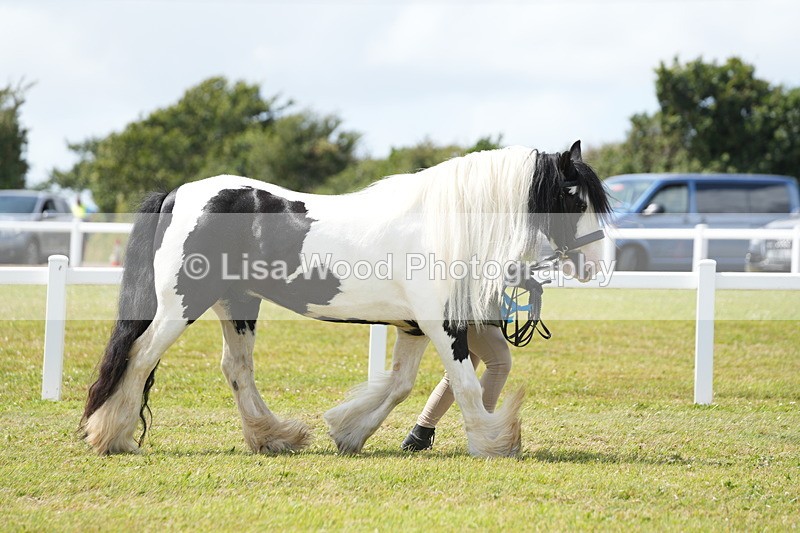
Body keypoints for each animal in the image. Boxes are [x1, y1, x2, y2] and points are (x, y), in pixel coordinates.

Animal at [80, 140, 611, 458]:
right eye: (573, 196)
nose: (596, 265)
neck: (441, 223)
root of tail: (179, 195)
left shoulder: (414, 327)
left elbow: (399, 385)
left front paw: (348, 431)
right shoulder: (442, 325)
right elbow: (463, 384)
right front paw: (495, 442)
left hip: (238, 304)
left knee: (236, 369)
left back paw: (274, 437)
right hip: (182, 305)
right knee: (140, 357)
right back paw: (113, 437)